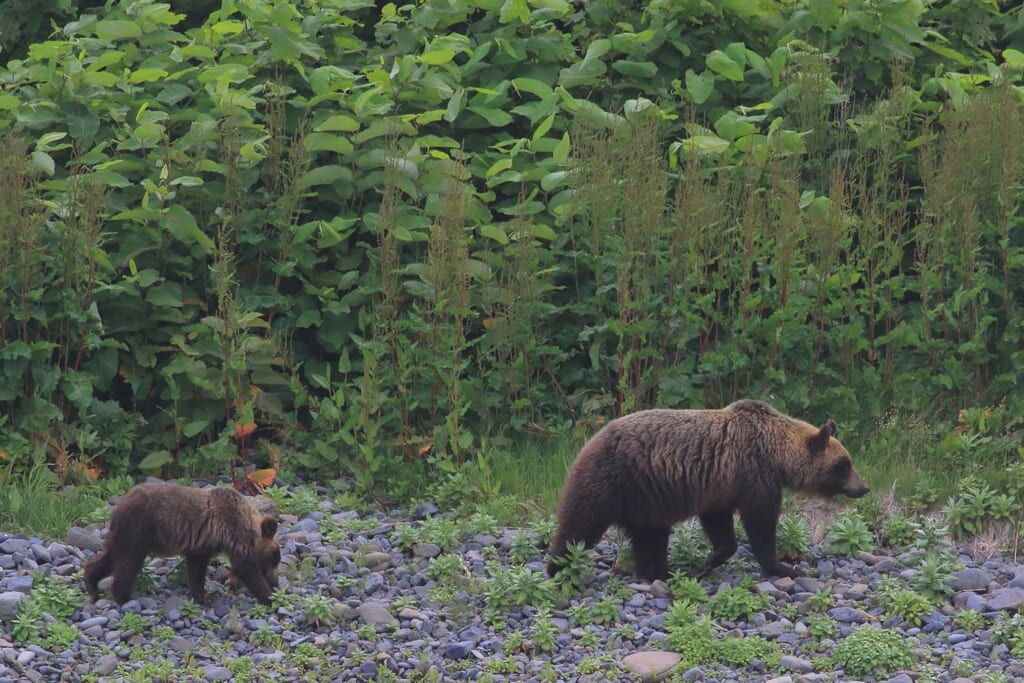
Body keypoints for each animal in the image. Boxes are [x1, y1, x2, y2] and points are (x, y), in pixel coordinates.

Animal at [83, 481, 280, 602]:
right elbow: (247, 568)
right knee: (128, 563)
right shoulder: (233, 533)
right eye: (274, 557)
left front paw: (200, 595)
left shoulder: (202, 545)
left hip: (125, 533)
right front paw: (268, 597)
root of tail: (119, 506)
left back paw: (92, 584)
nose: (276, 581)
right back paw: (122, 596)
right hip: (139, 528)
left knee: (112, 556)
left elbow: (195, 569)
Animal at [548, 401, 868, 581]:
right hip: (612, 480)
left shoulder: (721, 486)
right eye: (844, 464)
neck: (777, 454)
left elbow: (719, 524)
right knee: (580, 523)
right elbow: (760, 522)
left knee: (650, 535)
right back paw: (558, 567)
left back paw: (661, 572)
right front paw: (782, 567)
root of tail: (591, 440)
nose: (863, 487)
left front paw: (707, 562)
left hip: (646, 499)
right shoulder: (754, 474)